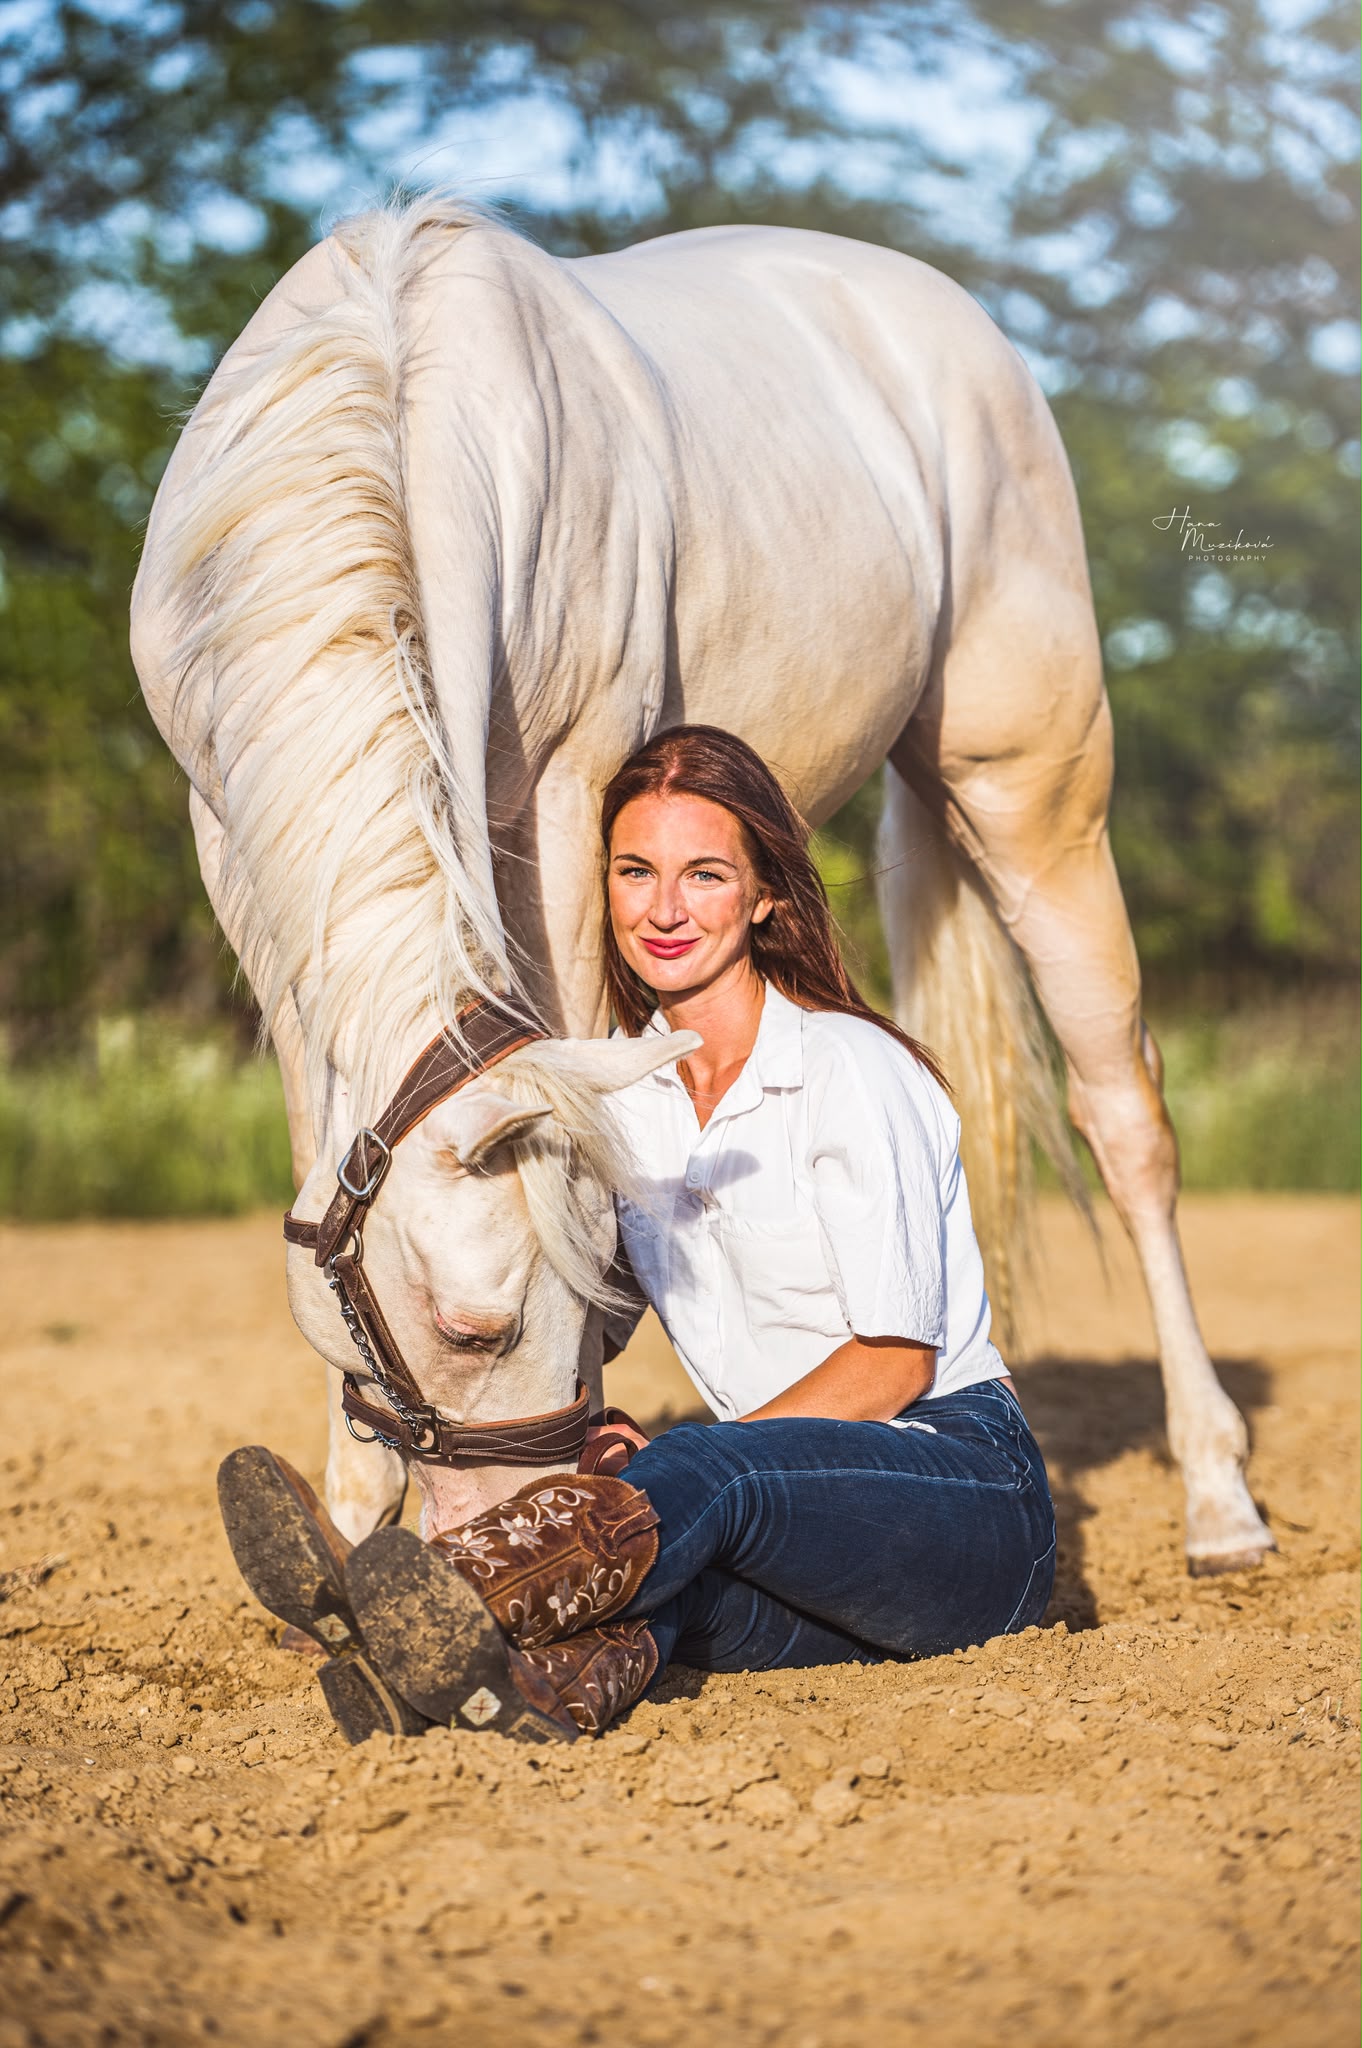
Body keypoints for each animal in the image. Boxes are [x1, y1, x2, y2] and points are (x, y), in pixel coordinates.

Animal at [129, 194, 1273, 1575]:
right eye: (470, 1329)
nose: (511, 1524)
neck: (385, 392)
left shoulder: (570, 807)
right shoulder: (235, 838)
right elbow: (324, 1127)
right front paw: (352, 1519)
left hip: (1033, 793)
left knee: (1126, 1118)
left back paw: (1218, 1494)